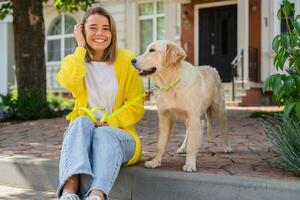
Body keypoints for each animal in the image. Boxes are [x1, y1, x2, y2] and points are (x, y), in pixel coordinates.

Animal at [131, 39, 232, 171]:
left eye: (152, 50)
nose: (132, 60)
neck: (170, 83)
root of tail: (212, 68)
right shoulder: (164, 118)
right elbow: (160, 144)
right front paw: (155, 162)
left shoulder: (193, 116)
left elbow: (192, 145)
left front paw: (190, 164)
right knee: (188, 132)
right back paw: (182, 147)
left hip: (219, 109)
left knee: (224, 130)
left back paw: (227, 147)